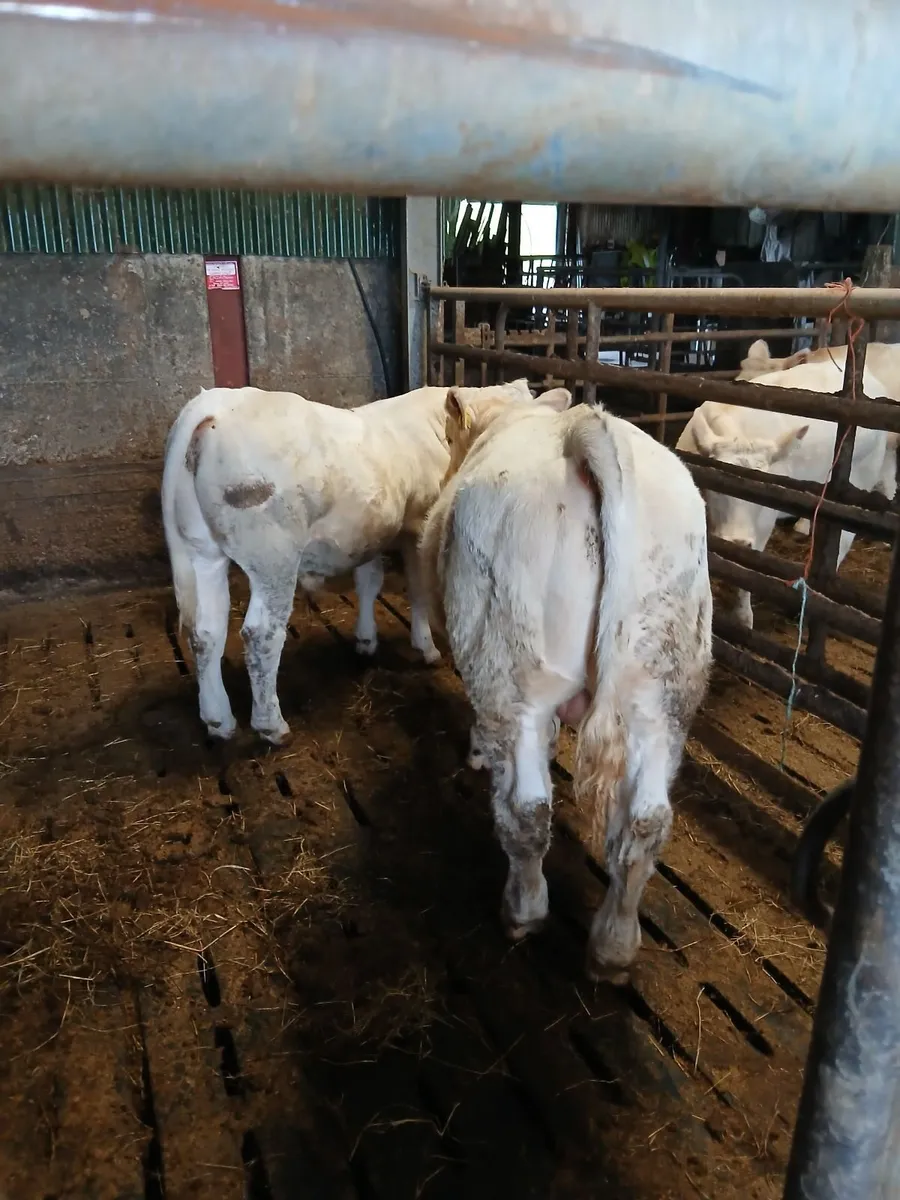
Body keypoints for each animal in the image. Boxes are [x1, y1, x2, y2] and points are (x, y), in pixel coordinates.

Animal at [160, 379, 565, 744]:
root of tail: (213, 406)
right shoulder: (416, 526)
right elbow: (416, 589)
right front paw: (426, 647)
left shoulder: (371, 530)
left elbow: (369, 581)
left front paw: (366, 640)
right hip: (272, 555)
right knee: (260, 634)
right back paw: (271, 726)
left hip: (201, 552)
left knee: (206, 631)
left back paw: (218, 720)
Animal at [421, 385, 712, 981]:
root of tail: (584, 431)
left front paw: (477, 754)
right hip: (663, 692)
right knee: (646, 821)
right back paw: (613, 948)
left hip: (513, 675)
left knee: (527, 810)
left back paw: (523, 912)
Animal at [677, 359, 895, 628]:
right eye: (718, 486)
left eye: (758, 492)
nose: (738, 541)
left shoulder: (762, 525)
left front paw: (743, 618)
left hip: (862, 478)